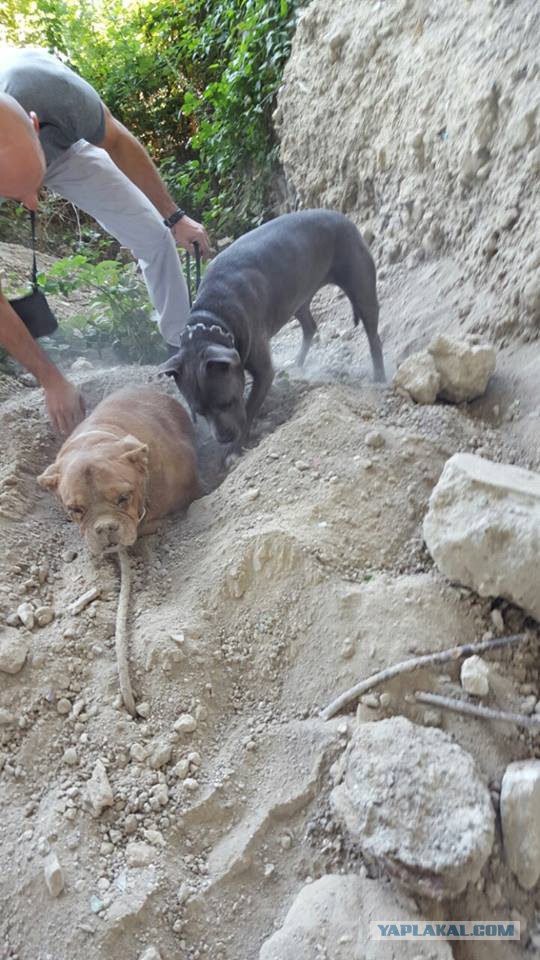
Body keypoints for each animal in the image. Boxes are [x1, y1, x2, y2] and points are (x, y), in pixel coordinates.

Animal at [160, 208, 384, 444]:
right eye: (199, 412)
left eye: (228, 402)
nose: (224, 439)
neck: (212, 317)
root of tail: (340, 216)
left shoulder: (264, 372)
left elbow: (249, 408)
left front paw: (238, 446)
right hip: (297, 299)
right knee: (310, 326)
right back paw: (297, 363)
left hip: (361, 288)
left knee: (373, 335)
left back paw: (379, 377)